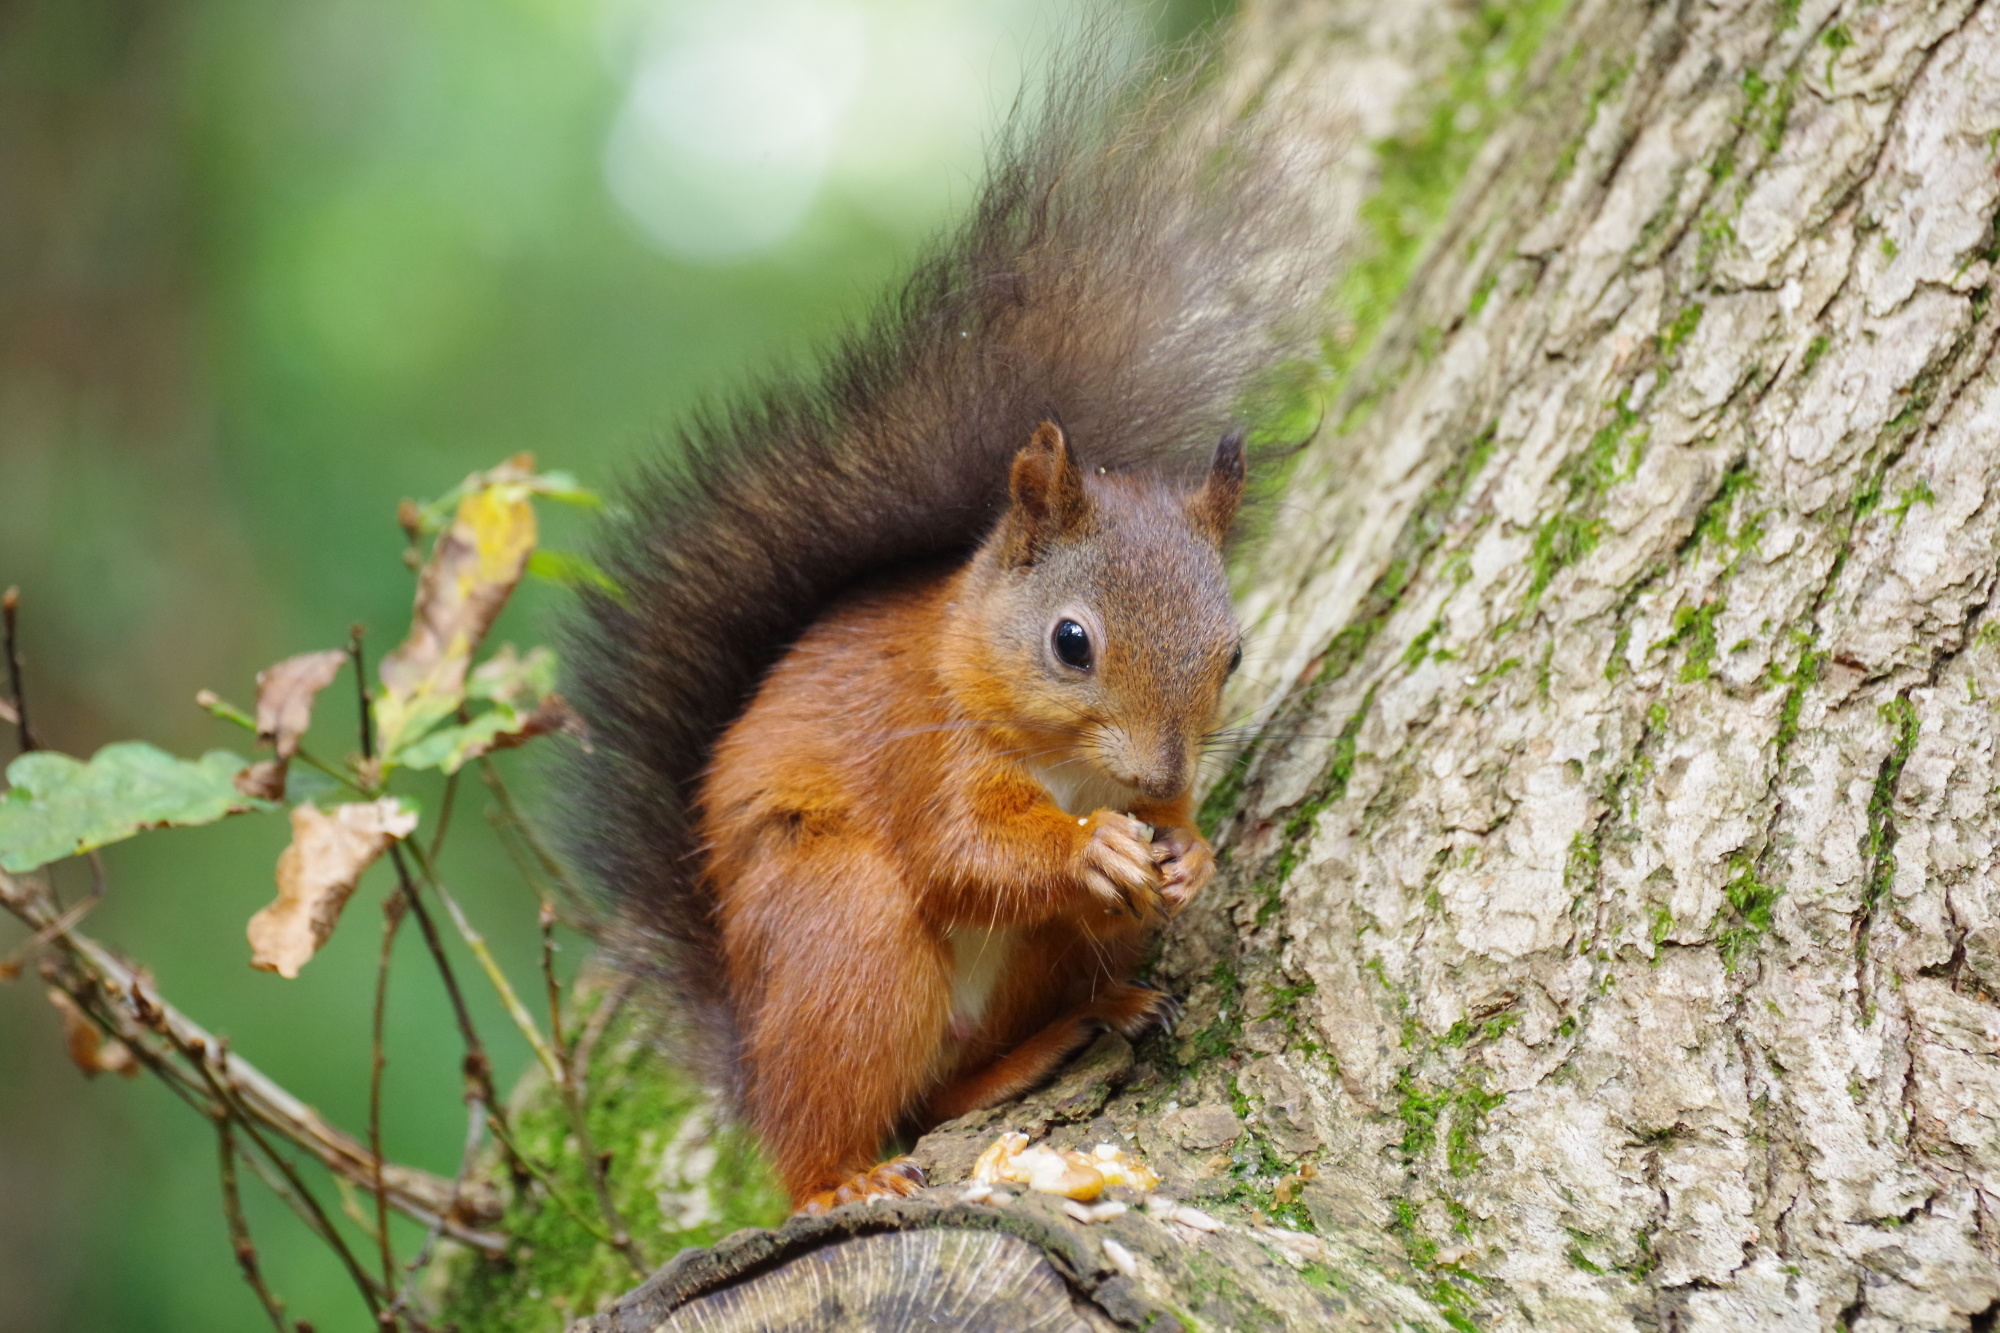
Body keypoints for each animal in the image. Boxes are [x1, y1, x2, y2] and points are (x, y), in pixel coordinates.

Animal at [562, 36, 1341, 1211]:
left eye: (1234, 653)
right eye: (1071, 641)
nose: (1160, 774)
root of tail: (747, 1046)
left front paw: (1188, 855)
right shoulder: (919, 748)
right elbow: (964, 848)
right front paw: (1093, 847)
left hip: (1018, 967)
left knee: (951, 1084)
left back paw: (1078, 1024)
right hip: (844, 937)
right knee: (841, 1116)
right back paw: (838, 1181)